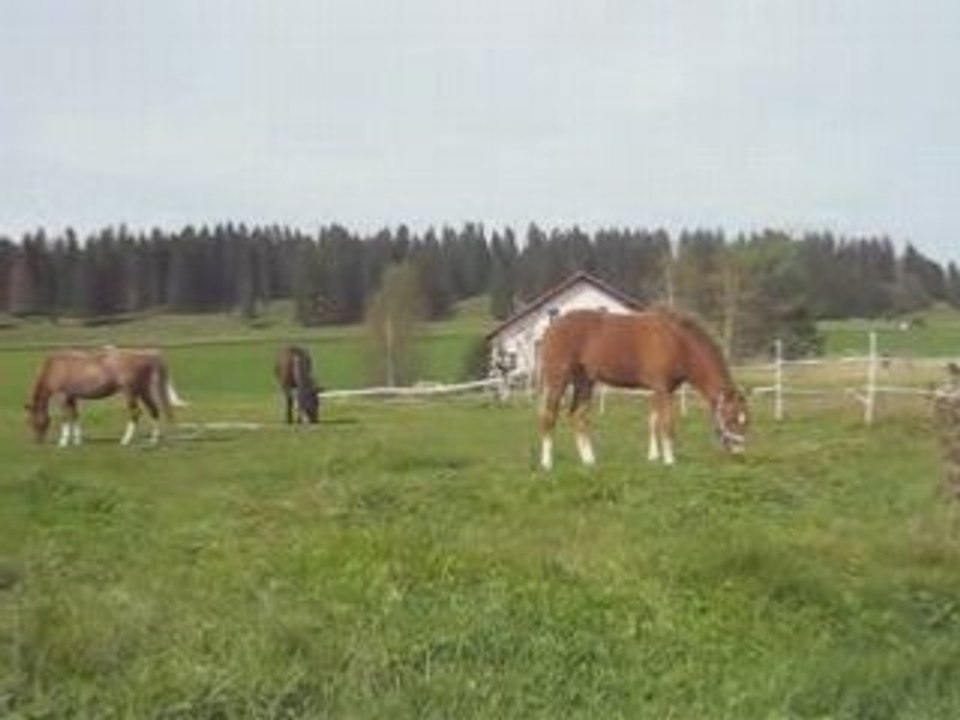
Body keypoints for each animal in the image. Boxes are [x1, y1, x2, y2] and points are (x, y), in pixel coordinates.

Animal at [24, 347, 188, 447]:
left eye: (33, 421)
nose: (38, 442)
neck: (55, 367)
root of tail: (145, 356)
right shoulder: (72, 397)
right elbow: (75, 416)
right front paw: (77, 441)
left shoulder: (63, 396)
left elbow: (65, 417)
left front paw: (63, 443)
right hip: (143, 391)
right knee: (154, 411)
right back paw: (153, 440)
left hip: (130, 392)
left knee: (135, 413)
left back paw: (125, 441)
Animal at [537, 308, 749, 470]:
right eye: (730, 419)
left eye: (746, 421)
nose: (739, 451)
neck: (678, 342)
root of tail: (552, 327)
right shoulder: (662, 388)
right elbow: (667, 424)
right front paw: (669, 461)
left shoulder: (660, 389)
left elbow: (653, 421)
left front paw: (653, 457)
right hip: (558, 379)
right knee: (549, 417)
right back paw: (547, 463)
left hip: (585, 382)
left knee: (577, 416)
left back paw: (589, 461)